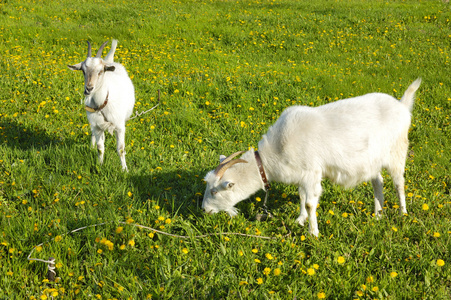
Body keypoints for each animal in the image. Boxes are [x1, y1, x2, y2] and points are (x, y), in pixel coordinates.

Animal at [67, 39, 134, 171]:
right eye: (83, 71)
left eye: (101, 71)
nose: (88, 89)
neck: (103, 103)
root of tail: (110, 61)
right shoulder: (97, 126)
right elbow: (100, 148)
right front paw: (100, 165)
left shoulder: (120, 126)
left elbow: (121, 149)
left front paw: (125, 169)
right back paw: (91, 146)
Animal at [203, 79, 422, 237]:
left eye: (215, 191)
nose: (205, 211)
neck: (276, 151)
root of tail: (402, 106)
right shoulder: (301, 174)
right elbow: (301, 196)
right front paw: (300, 220)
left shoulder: (312, 172)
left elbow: (310, 203)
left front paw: (313, 233)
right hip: (372, 160)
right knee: (378, 182)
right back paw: (378, 215)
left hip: (397, 150)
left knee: (399, 183)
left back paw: (403, 214)